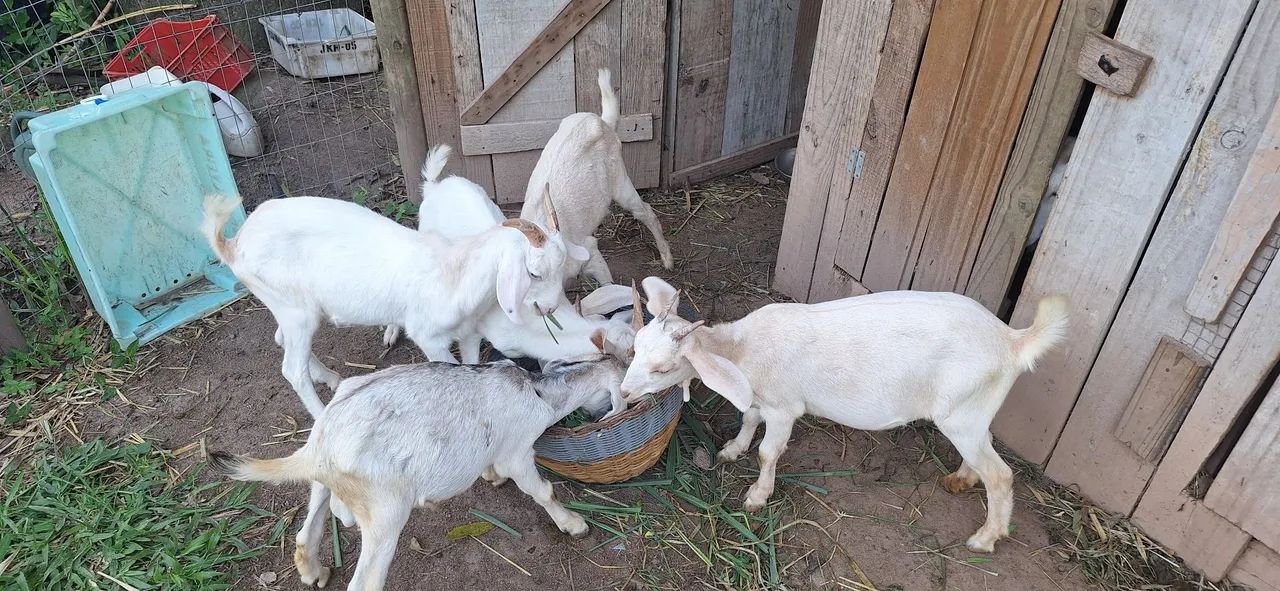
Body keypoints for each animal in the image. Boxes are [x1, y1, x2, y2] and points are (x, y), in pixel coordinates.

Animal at [200, 192, 576, 419]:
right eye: (534, 272)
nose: (551, 307)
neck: (454, 272)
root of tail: (234, 243)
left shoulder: (469, 333)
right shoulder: (429, 336)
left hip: (289, 307)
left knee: (283, 341)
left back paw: (331, 378)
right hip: (295, 310)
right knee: (292, 369)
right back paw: (322, 415)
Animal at [210, 343, 626, 590]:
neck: (538, 391)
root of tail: (318, 448)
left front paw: (491, 477)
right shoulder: (519, 451)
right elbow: (543, 491)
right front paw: (574, 524)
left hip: (323, 481)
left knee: (307, 530)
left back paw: (314, 572)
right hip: (385, 513)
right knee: (364, 580)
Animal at [520, 69, 673, 285]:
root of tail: (602, 121)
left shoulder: (587, 249)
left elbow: (606, 283)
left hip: (619, 178)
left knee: (645, 211)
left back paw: (667, 259)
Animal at [619, 277, 1069, 552]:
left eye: (662, 369)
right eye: (636, 347)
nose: (624, 393)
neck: (741, 349)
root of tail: (1012, 340)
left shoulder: (785, 406)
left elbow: (768, 452)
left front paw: (757, 496)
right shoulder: (761, 397)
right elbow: (747, 419)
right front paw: (731, 450)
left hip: (961, 414)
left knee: (1002, 475)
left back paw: (985, 537)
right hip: (972, 412)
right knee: (984, 451)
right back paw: (961, 479)